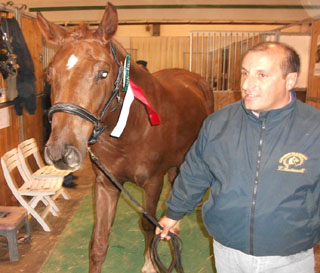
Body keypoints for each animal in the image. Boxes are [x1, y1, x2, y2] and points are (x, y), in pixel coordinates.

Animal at [37, 2, 212, 272]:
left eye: (103, 73)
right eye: (49, 74)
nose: (60, 153)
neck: (129, 133)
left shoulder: (153, 183)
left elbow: (148, 224)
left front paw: (150, 264)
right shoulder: (106, 185)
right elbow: (98, 243)